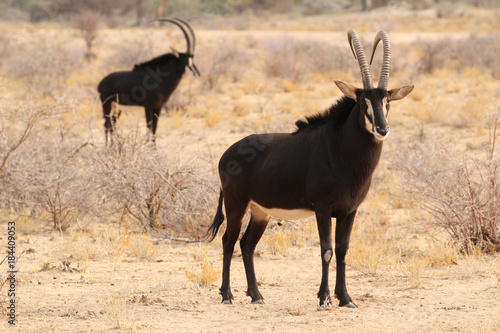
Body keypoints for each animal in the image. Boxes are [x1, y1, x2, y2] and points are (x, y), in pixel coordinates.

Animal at [97, 16, 199, 145]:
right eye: (187, 59)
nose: (197, 73)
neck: (160, 80)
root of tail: (101, 83)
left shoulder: (158, 107)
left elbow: (155, 128)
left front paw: (154, 148)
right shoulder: (148, 106)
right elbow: (149, 127)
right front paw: (148, 147)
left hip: (117, 108)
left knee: (112, 125)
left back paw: (112, 146)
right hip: (106, 105)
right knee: (106, 124)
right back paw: (107, 147)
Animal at [207, 29, 414, 308]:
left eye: (387, 101)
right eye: (363, 102)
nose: (382, 129)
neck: (342, 149)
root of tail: (226, 154)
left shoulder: (350, 211)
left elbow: (342, 250)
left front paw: (345, 298)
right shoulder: (323, 208)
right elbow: (326, 250)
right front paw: (324, 298)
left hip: (260, 212)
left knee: (247, 245)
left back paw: (256, 295)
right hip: (236, 205)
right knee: (228, 241)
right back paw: (227, 295)